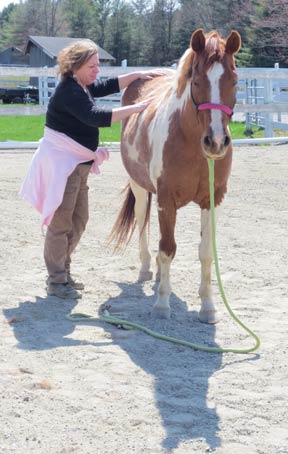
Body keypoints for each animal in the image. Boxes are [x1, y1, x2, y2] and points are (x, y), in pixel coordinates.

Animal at [109, 28, 241, 324]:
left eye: (235, 80)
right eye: (197, 79)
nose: (217, 142)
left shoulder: (212, 200)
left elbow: (205, 253)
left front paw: (208, 307)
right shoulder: (166, 199)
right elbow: (168, 248)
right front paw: (161, 305)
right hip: (140, 188)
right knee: (144, 224)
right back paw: (147, 269)